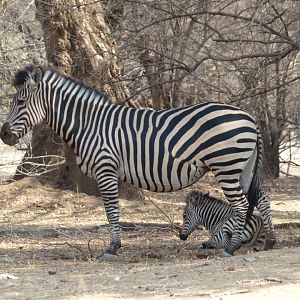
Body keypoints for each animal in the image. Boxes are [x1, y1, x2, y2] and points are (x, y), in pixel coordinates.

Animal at [0, 65, 276, 258]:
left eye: (21, 102)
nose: (3, 134)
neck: (89, 125)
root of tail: (250, 117)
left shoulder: (106, 169)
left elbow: (111, 211)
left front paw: (112, 248)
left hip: (226, 167)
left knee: (242, 204)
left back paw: (232, 247)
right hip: (243, 167)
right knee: (261, 199)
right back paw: (270, 242)